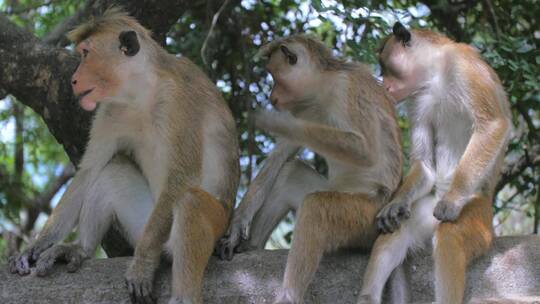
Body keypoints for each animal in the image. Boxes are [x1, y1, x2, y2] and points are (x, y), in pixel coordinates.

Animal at [7, 8, 239, 304]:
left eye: (85, 53)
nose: (73, 79)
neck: (142, 92)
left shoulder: (180, 101)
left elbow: (181, 178)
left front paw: (142, 264)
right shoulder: (109, 110)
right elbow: (89, 171)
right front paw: (35, 246)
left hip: (206, 225)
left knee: (191, 202)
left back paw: (180, 291)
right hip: (144, 226)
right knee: (112, 169)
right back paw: (80, 249)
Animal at [217, 34, 402, 302]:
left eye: (276, 77)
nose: (272, 96)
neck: (323, 88)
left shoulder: (347, 88)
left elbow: (365, 150)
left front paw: (276, 122)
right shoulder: (303, 106)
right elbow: (280, 158)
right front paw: (236, 226)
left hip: (366, 217)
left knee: (316, 207)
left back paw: (288, 296)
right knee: (289, 174)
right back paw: (251, 247)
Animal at [358, 22, 510, 304]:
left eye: (385, 65)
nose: (385, 86)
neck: (435, 73)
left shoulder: (464, 65)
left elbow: (493, 124)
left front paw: (452, 201)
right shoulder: (416, 101)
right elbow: (425, 164)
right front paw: (396, 203)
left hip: (479, 217)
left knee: (449, 235)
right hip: (424, 214)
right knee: (398, 231)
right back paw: (368, 296)